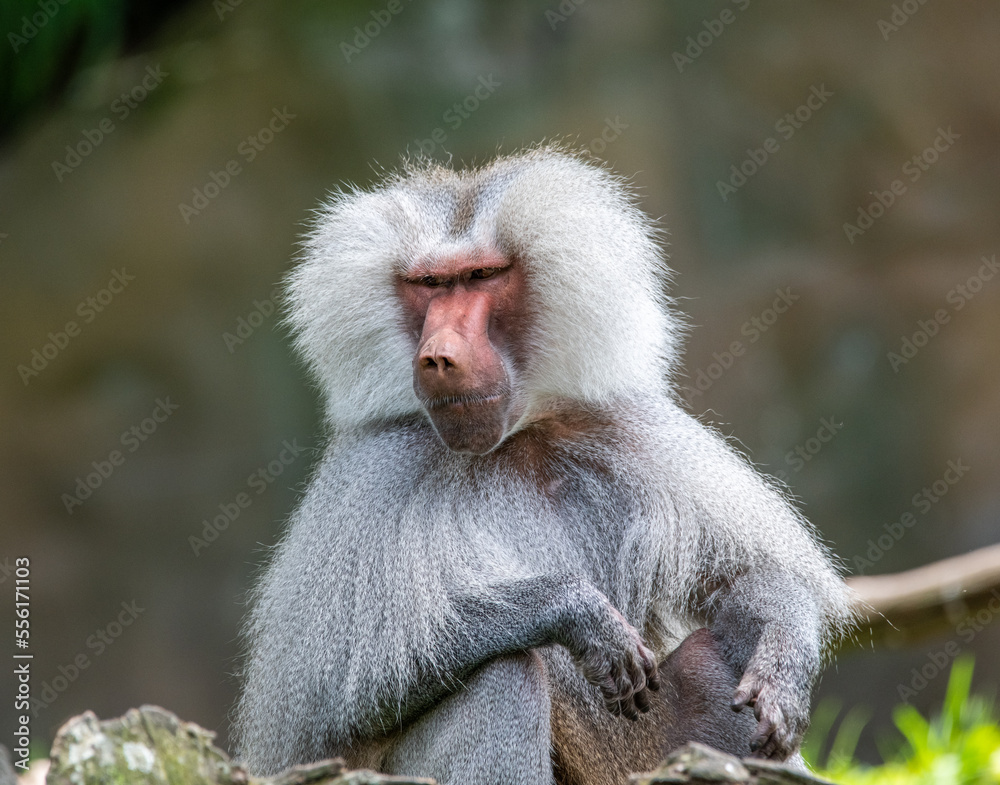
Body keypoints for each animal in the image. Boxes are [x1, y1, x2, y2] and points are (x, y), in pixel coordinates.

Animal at [233, 147, 854, 784]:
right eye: (429, 285)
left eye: (481, 276)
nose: (438, 357)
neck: (512, 442)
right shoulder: (380, 468)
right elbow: (349, 692)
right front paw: (578, 612)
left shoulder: (628, 433)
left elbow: (744, 576)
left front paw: (783, 662)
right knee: (497, 673)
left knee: (713, 660)